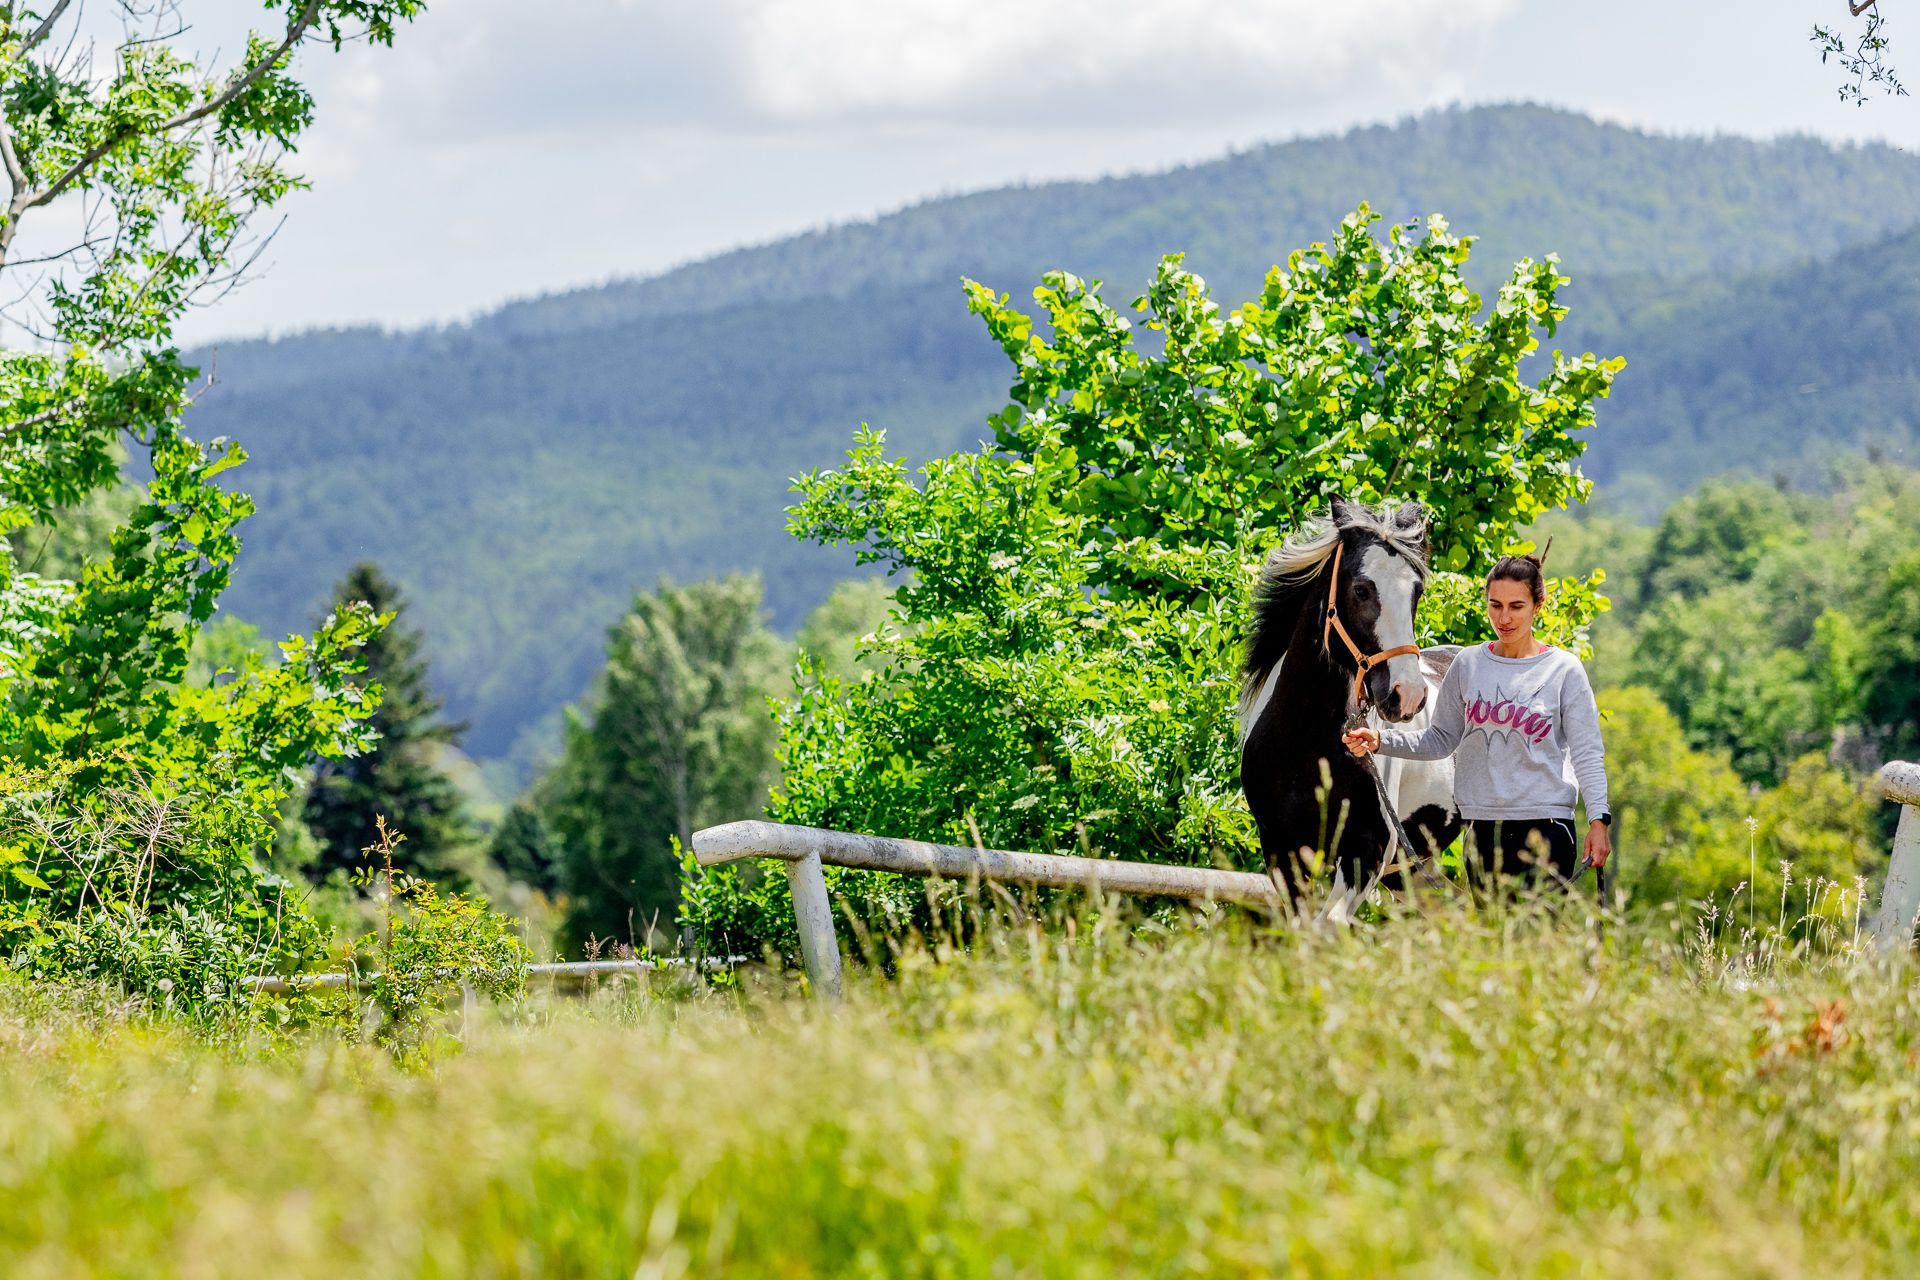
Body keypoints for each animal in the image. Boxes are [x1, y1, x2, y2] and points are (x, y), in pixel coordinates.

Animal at [1238, 497, 1462, 904]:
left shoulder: (1367, 852)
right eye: (1361, 590)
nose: (1407, 696)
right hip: (1409, 872)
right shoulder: (1283, 856)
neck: (1303, 745)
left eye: (1417, 591)